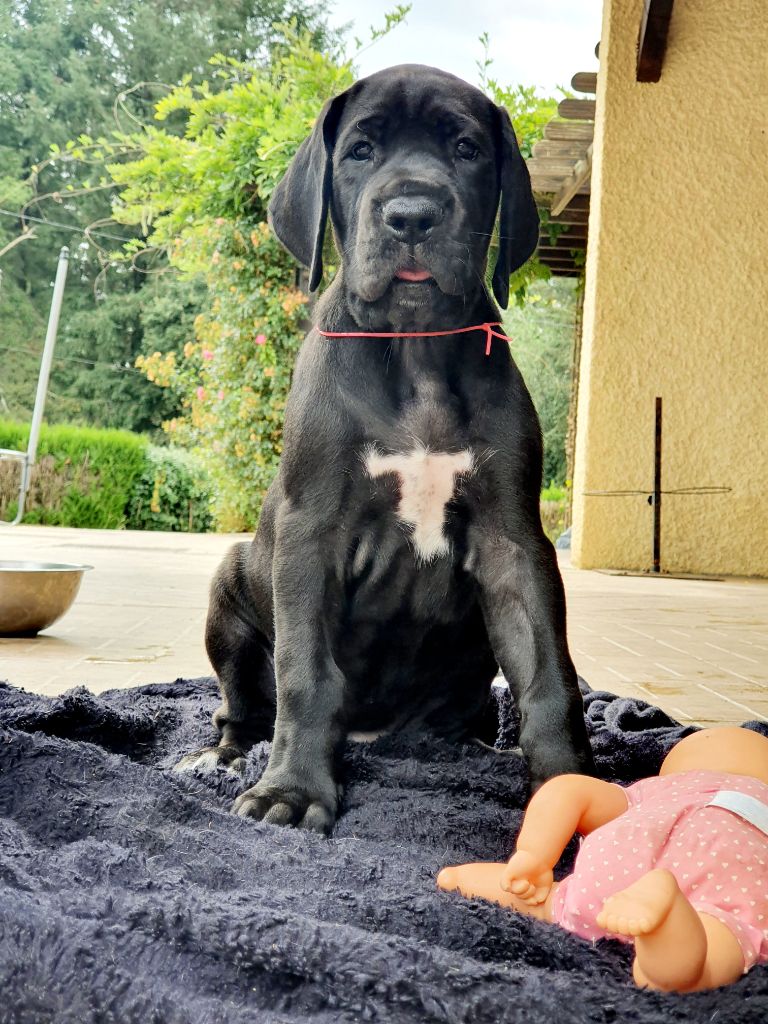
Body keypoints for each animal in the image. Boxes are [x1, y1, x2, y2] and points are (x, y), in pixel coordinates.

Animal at [176, 65, 594, 832]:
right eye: (360, 151)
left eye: (465, 148)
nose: (411, 216)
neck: (416, 349)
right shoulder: (311, 534)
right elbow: (306, 674)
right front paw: (291, 791)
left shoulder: (514, 543)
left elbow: (550, 677)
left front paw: (570, 787)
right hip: (231, 587)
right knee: (241, 709)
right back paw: (221, 757)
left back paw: (464, 749)